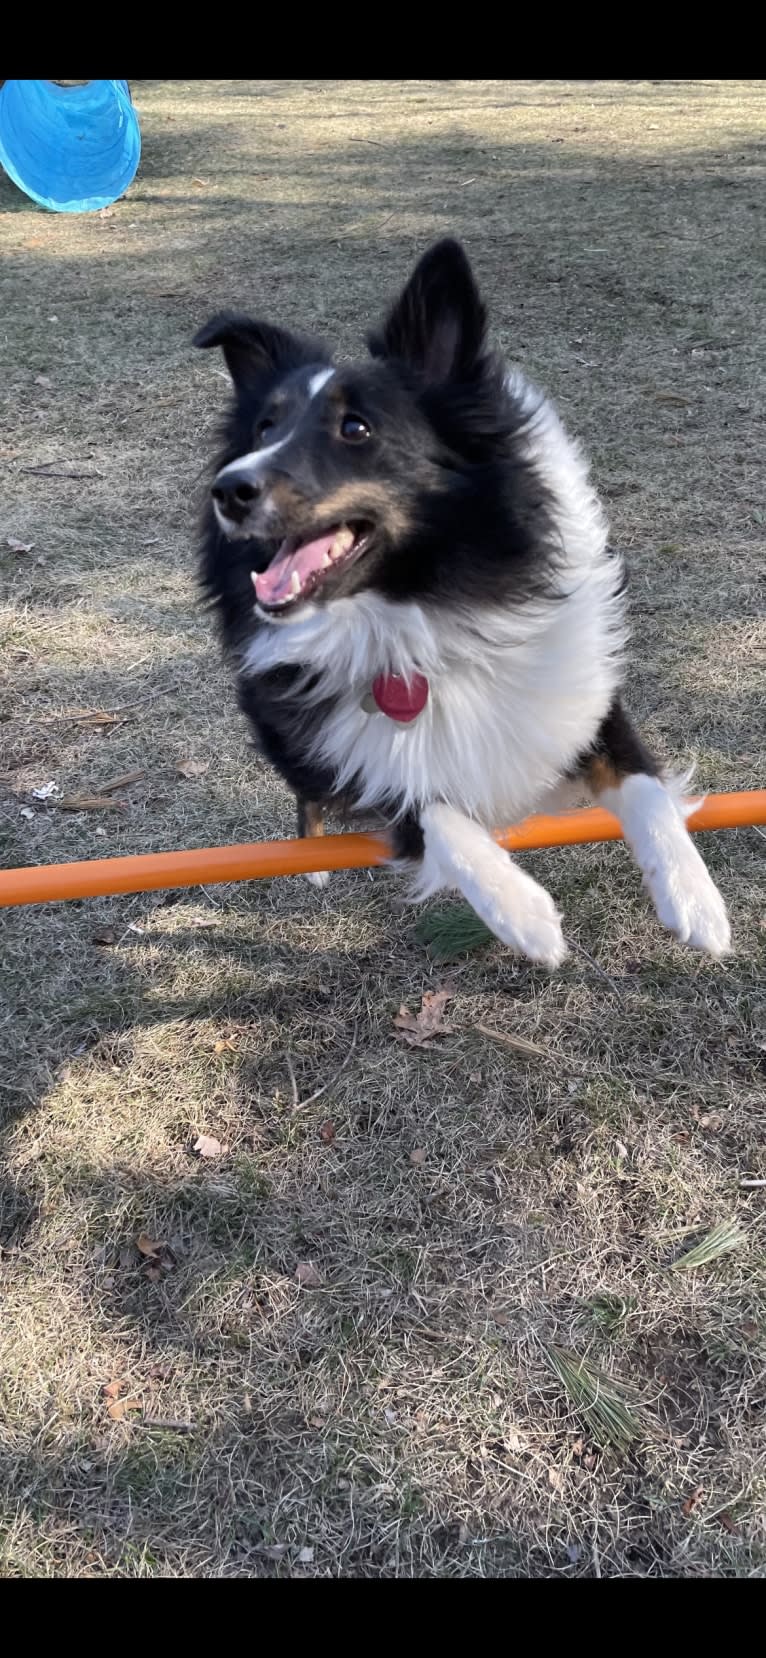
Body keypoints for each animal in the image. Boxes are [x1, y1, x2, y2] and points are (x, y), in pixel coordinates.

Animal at [193, 232, 729, 961]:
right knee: (309, 791)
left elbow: (644, 786)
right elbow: (430, 811)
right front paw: (523, 913)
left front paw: (695, 900)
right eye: (263, 429)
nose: (229, 488)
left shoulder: (582, 703)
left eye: (356, 429)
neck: (424, 606)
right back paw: (314, 857)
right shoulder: (361, 761)